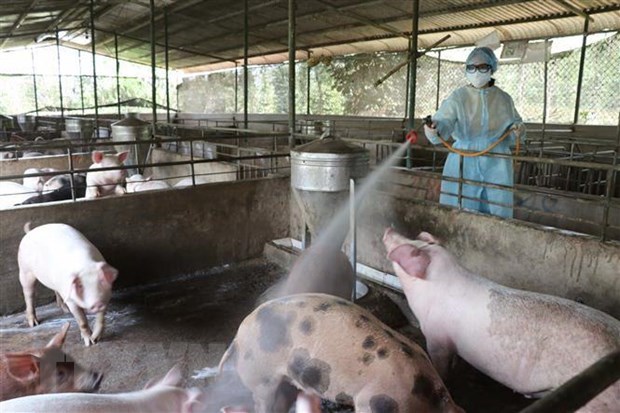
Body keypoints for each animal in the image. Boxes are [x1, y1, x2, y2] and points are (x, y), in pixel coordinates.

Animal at [382, 229, 620, 412]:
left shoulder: (436, 337)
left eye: (407, 247)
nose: (389, 229)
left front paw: (443, 375)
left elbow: (440, 364)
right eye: (414, 240)